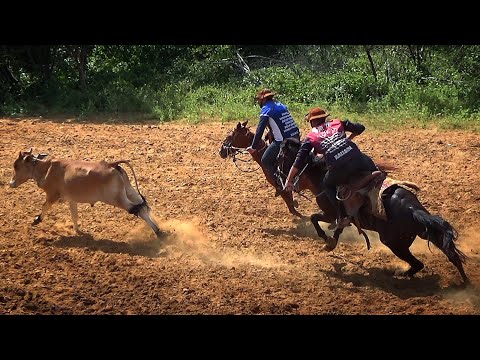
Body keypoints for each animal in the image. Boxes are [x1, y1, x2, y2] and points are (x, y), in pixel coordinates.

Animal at [8, 149, 163, 239]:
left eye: (16, 166)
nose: (11, 183)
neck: (46, 168)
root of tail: (111, 164)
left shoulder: (52, 195)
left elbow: (44, 207)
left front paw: (37, 219)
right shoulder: (71, 200)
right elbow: (74, 216)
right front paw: (77, 230)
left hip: (117, 199)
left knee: (137, 209)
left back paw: (158, 232)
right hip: (130, 191)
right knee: (142, 206)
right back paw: (159, 231)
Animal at [278, 137, 468, 284]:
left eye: (282, 155)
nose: (280, 173)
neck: (318, 174)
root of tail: (412, 209)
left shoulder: (331, 214)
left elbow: (314, 218)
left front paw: (326, 239)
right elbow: (335, 227)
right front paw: (331, 242)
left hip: (394, 243)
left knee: (418, 264)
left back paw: (400, 274)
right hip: (424, 231)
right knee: (450, 254)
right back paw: (465, 282)